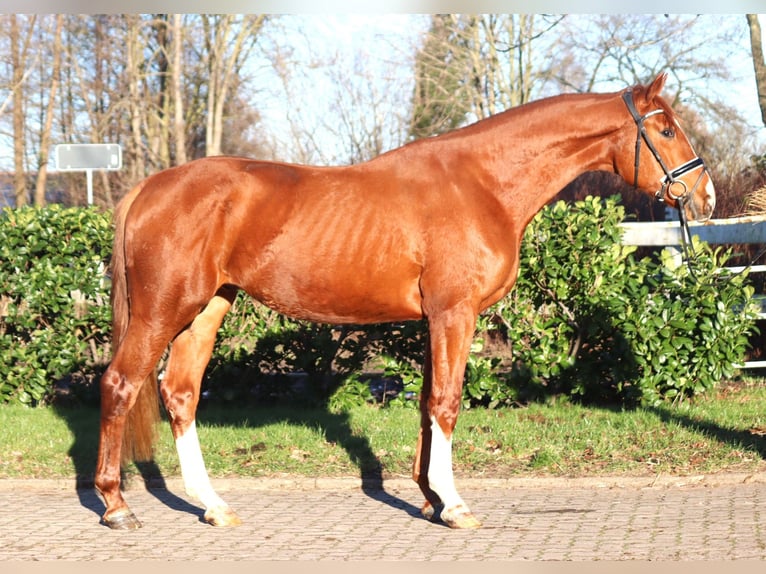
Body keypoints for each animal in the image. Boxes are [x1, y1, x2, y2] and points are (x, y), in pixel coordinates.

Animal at [94, 74, 712, 532]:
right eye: (665, 128)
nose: (703, 197)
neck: (482, 184)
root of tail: (149, 188)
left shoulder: (435, 319)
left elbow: (426, 402)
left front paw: (429, 499)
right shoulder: (454, 313)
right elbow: (447, 402)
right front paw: (454, 505)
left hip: (206, 309)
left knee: (180, 393)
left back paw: (213, 505)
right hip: (163, 310)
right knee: (121, 384)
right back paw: (116, 506)